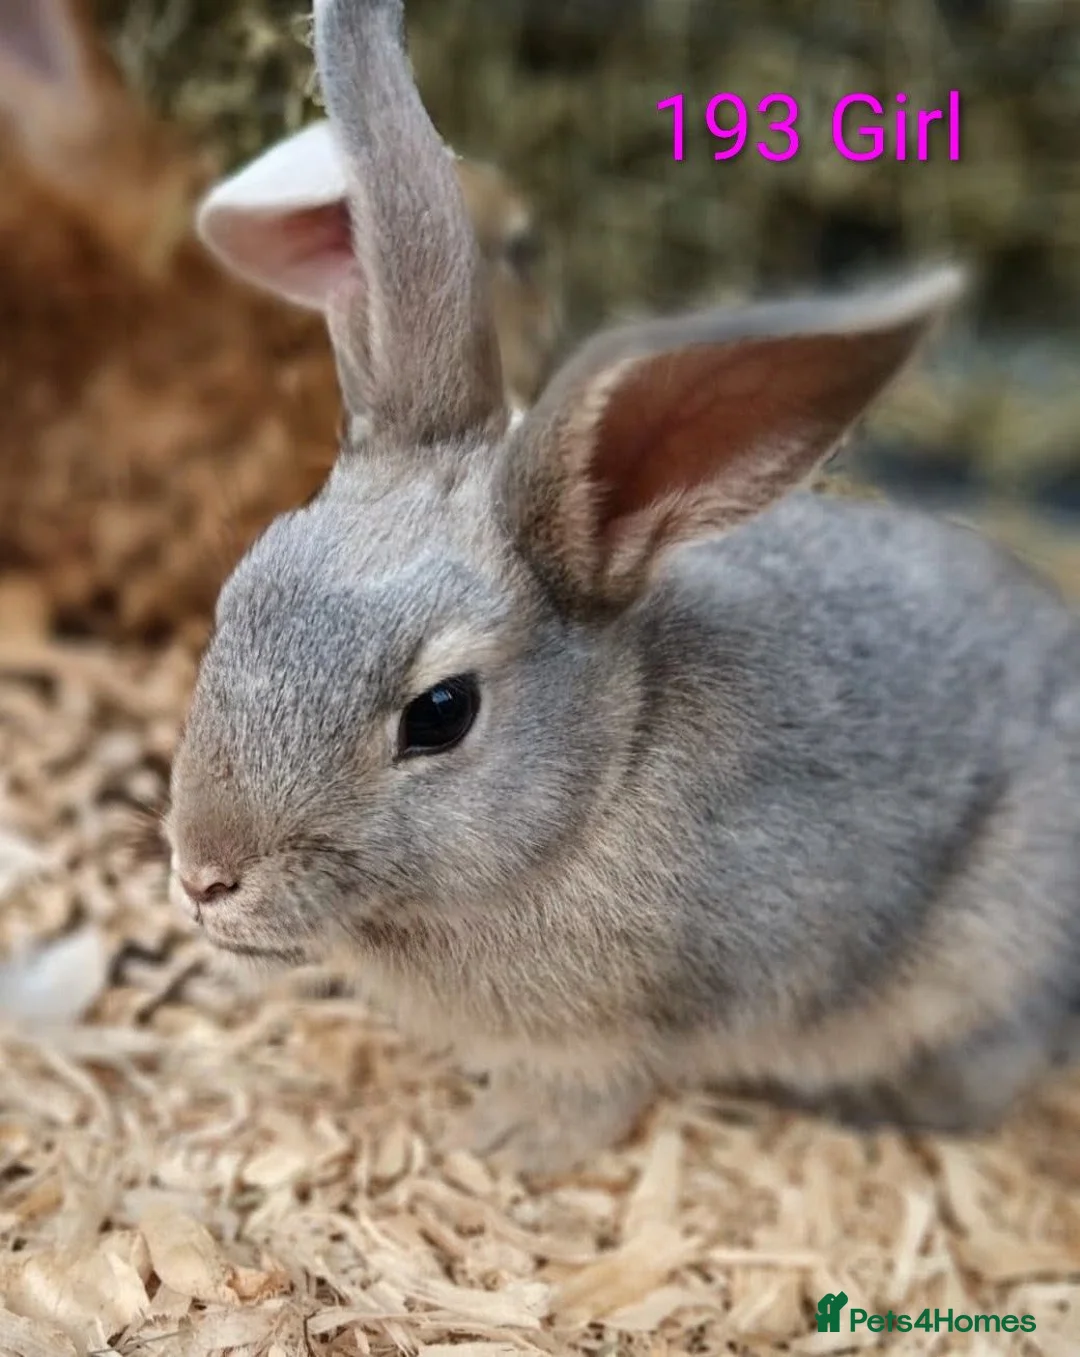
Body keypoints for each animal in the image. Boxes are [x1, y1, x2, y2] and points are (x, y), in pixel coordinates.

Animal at [165, 0, 1080, 1176]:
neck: (600, 783)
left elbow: (596, 1086)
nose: (204, 872)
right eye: (240, 596)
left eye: (441, 713)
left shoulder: (648, 1016)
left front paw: (504, 1141)